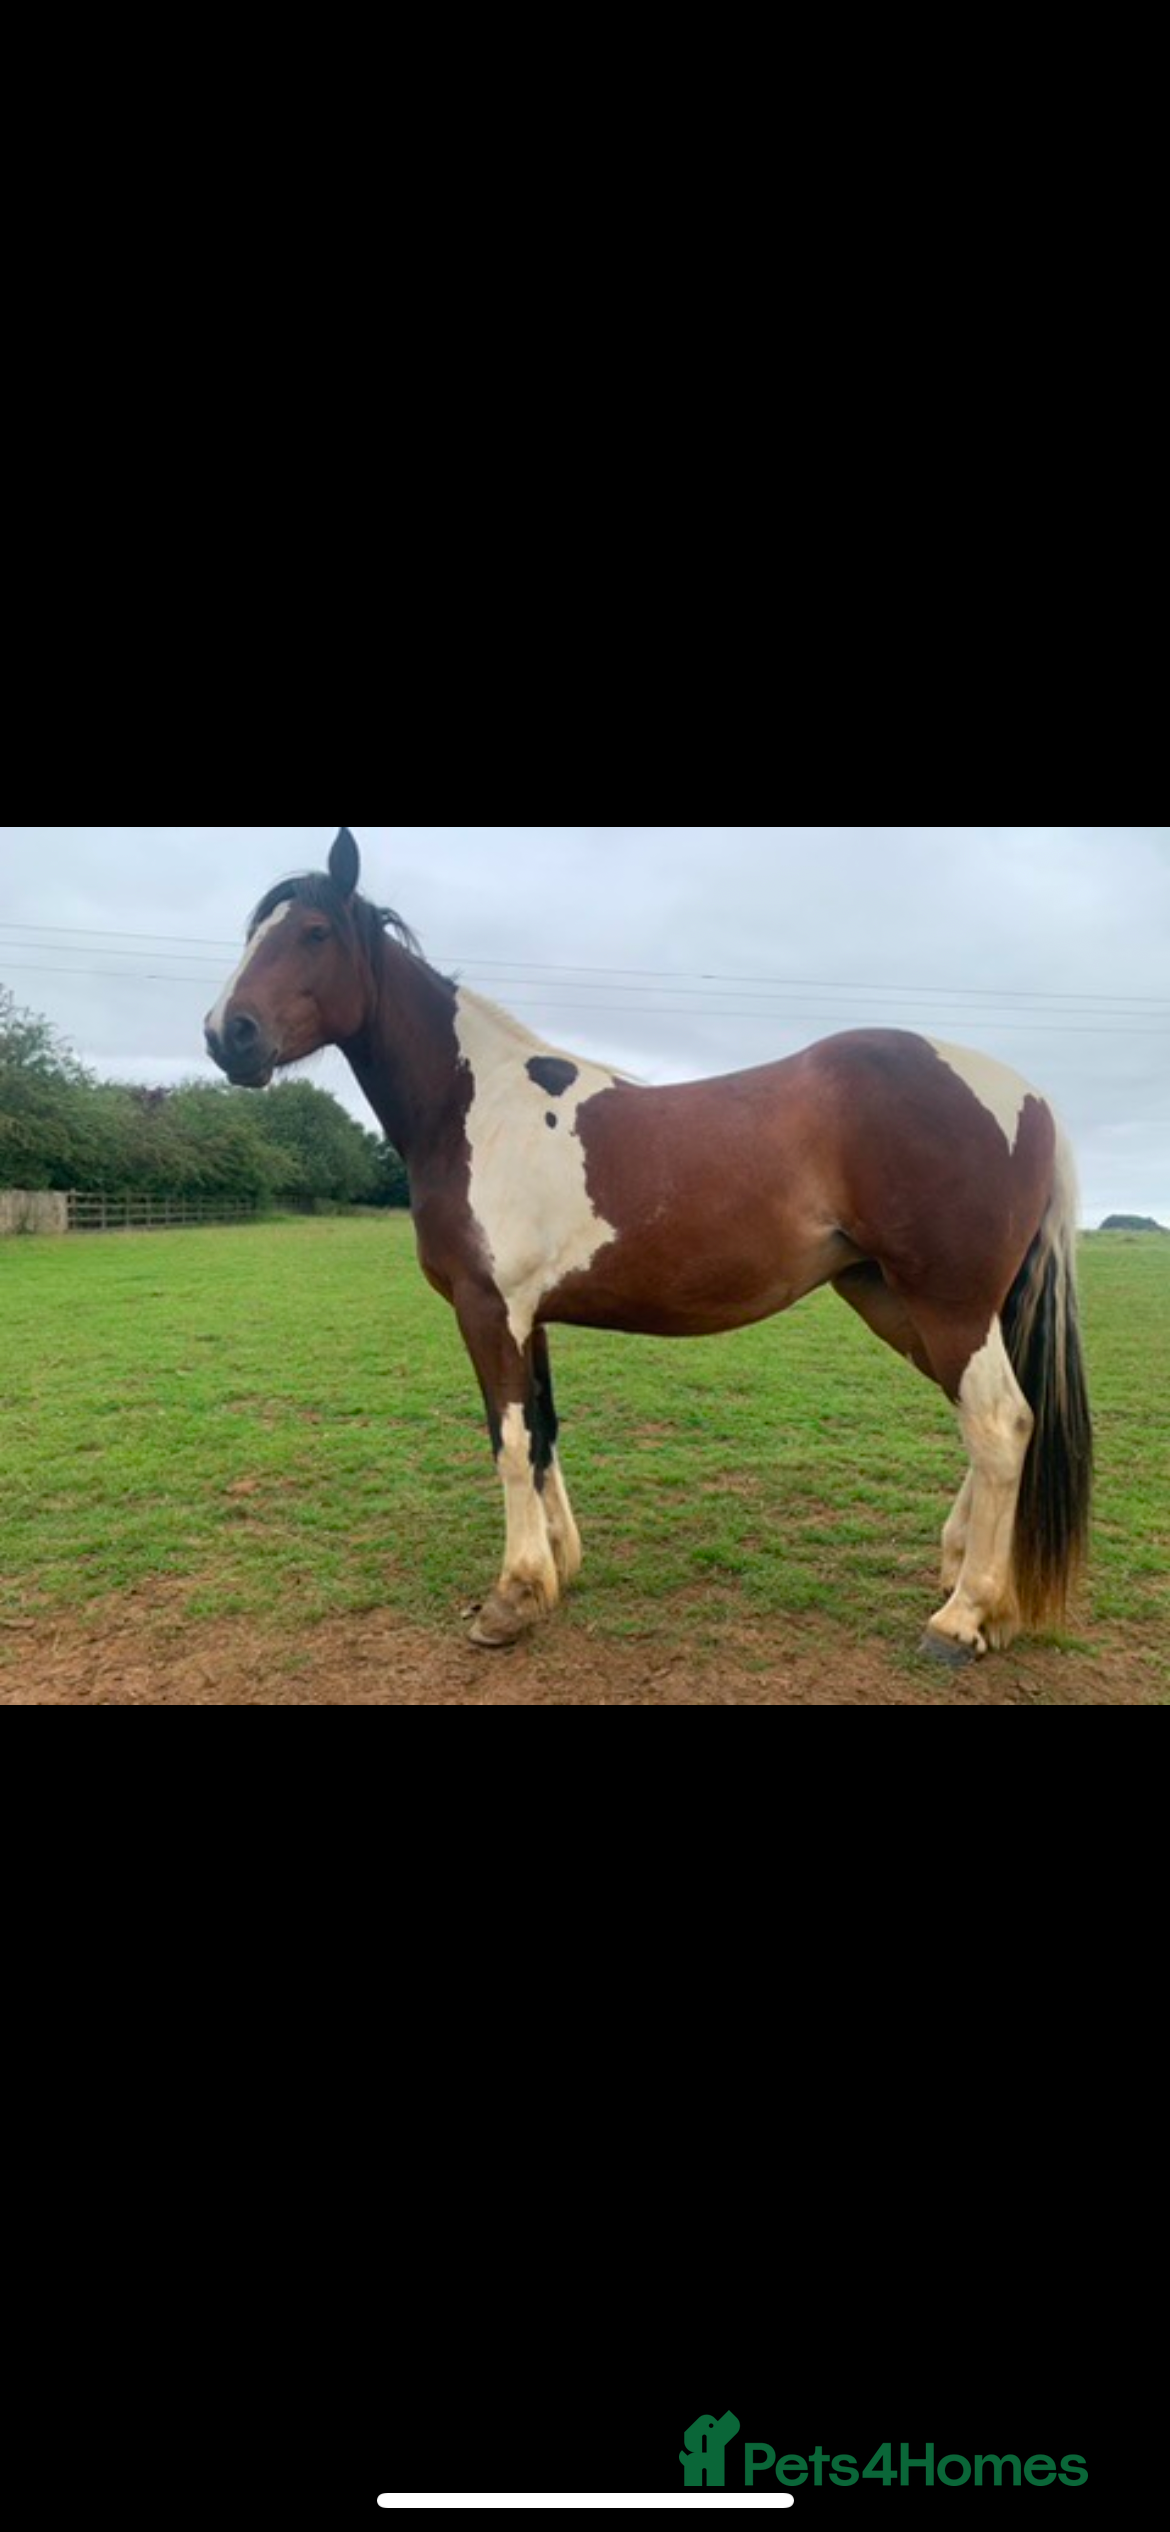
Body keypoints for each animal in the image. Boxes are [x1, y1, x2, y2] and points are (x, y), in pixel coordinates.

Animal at [204, 829, 1092, 1661]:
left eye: (314, 932)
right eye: (254, 935)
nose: (226, 1035)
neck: (476, 1109)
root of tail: (1031, 1096)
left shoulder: (488, 1309)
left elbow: (509, 1439)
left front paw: (510, 1598)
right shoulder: (531, 1316)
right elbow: (544, 1431)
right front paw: (556, 1571)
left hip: (948, 1304)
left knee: (1000, 1424)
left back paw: (961, 1618)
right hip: (897, 1300)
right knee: (986, 1423)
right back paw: (975, 1588)